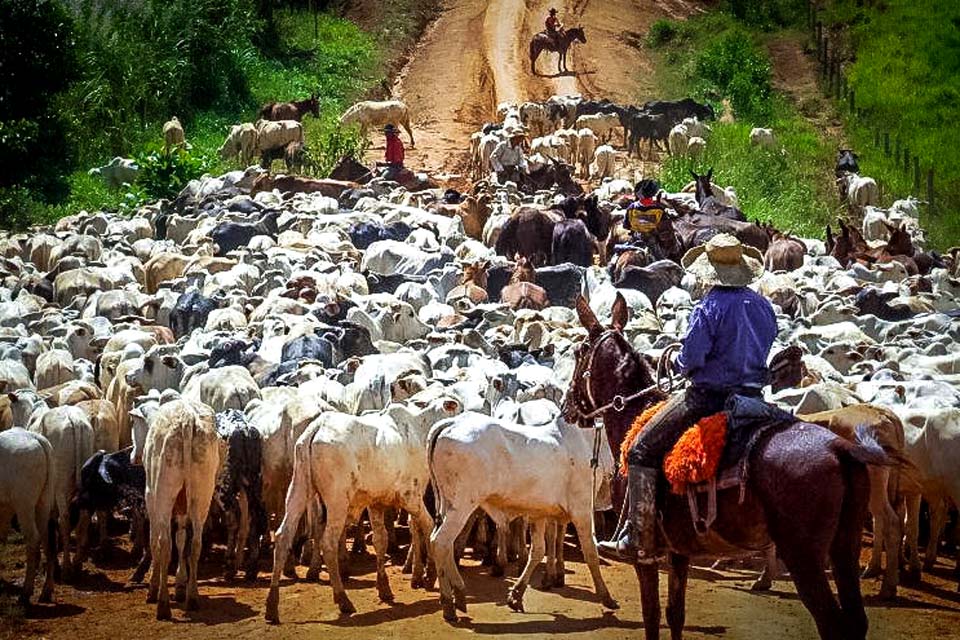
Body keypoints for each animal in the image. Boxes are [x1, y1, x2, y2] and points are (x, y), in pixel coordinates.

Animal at [568, 294, 896, 640]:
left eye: (578, 353)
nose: (567, 406)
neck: (634, 415)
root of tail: (840, 448)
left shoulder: (646, 555)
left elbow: (652, 616)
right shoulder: (678, 549)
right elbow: (674, 613)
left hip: (804, 555)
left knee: (833, 624)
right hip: (844, 546)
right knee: (856, 620)